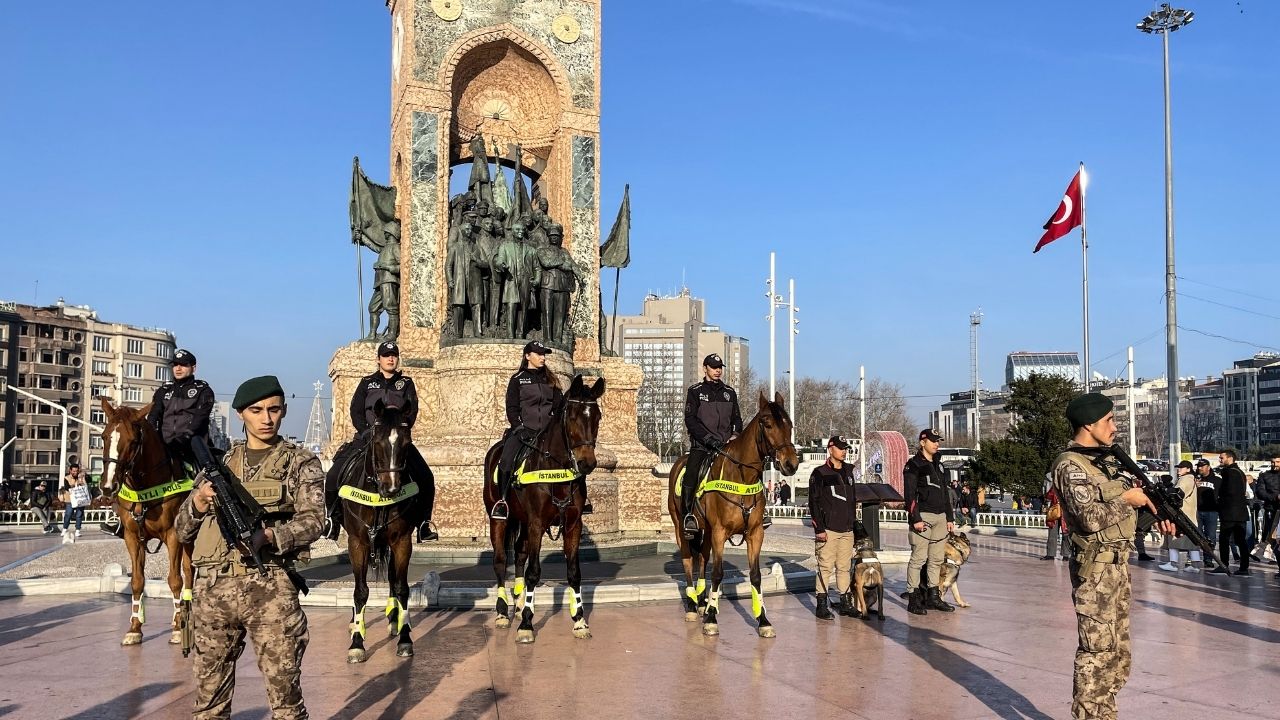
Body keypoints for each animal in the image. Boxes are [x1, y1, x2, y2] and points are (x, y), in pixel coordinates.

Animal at [97, 397, 194, 645]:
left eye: (133, 441)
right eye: (104, 436)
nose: (108, 486)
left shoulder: (173, 536)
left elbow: (174, 580)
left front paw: (177, 628)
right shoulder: (133, 538)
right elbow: (137, 581)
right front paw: (134, 628)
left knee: (188, 572)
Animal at [483, 371, 604, 640]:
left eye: (597, 417)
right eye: (572, 416)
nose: (587, 463)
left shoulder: (572, 524)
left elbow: (574, 573)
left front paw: (579, 620)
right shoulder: (537, 523)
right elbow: (534, 572)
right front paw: (527, 624)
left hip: (523, 522)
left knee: (519, 553)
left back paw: (518, 605)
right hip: (499, 519)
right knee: (499, 560)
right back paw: (502, 612)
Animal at [665, 389, 793, 635]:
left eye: (789, 424)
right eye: (767, 424)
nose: (791, 463)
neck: (742, 477)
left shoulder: (755, 534)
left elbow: (755, 575)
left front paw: (763, 620)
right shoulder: (719, 532)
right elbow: (718, 573)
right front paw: (711, 618)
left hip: (705, 532)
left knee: (702, 560)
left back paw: (702, 602)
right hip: (681, 529)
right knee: (688, 562)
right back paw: (692, 606)